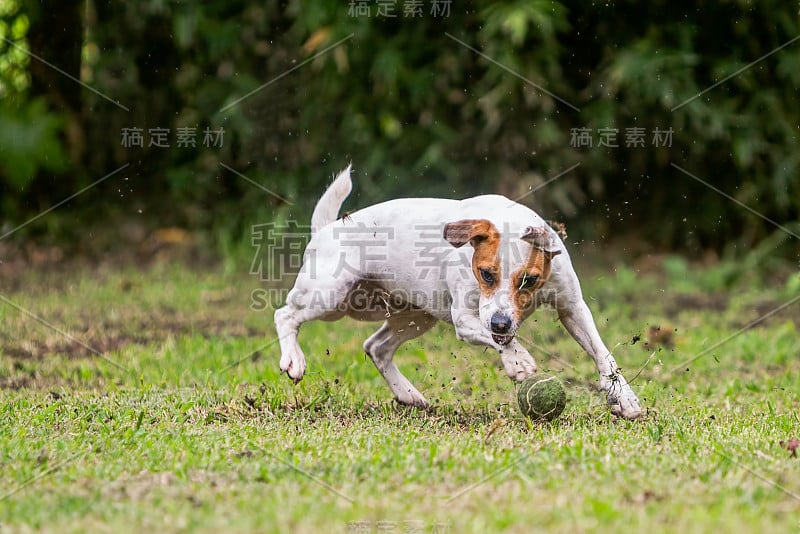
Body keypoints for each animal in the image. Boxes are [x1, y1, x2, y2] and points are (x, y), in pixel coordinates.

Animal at [276, 165, 644, 420]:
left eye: (529, 280)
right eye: (486, 274)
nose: (501, 323)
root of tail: (327, 229)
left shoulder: (572, 307)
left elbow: (602, 353)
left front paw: (624, 397)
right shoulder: (465, 320)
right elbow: (495, 338)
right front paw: (517, 360)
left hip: (415, 314)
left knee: (376, 347)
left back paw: (407, 393)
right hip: (331, 296)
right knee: (286, 314)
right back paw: (293, 359)